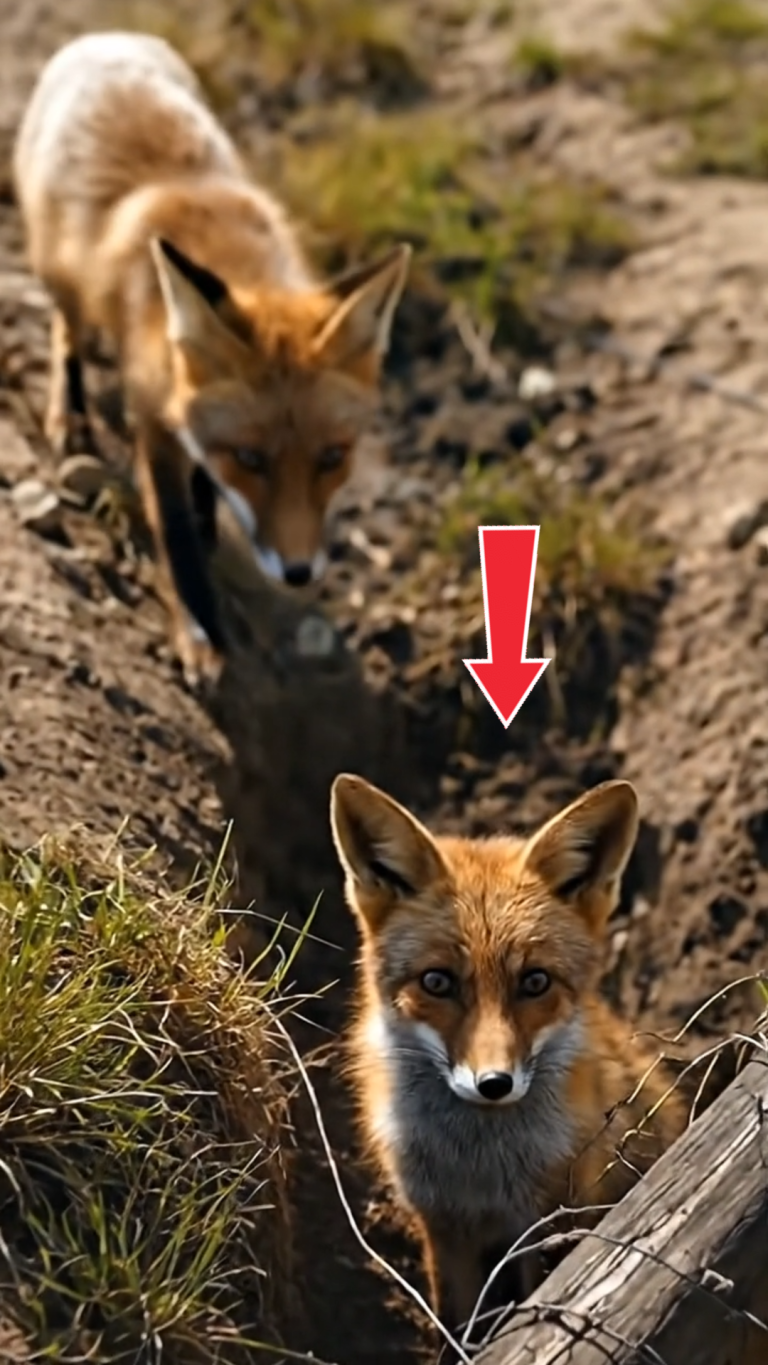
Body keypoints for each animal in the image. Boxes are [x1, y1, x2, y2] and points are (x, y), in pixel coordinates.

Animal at [13, 32, 410, 686]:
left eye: (333, 457)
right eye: (251, 458)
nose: (298, 572)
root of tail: (103, 40)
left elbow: (200, 484)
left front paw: (207, 515)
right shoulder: (151, 418)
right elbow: (176, 539)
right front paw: (198, 631)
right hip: (61, 274)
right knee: (66, 328)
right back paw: (69, 416)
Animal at [330, 773, 688, 1355]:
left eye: (535, 981)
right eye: (437, 982)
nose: (493, 1084)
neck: (478, 1165)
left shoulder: (546, 1223)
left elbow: (536, 1297)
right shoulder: (442, 1226)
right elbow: (455, 1323)